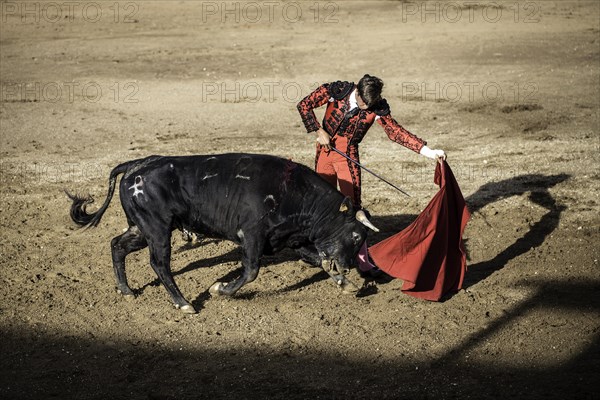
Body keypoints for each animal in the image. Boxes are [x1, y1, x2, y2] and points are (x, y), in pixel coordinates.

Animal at [68, 153, 378, 312]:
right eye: (356, 236)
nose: (348, 266)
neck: (294, 192)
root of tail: (135, 165)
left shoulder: (291, 239)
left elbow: (318, 260)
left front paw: (345, 283)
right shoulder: (252, 236)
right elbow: (251, 271)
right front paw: (219, 289)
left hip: (140, 228)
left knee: (117, 245)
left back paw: (126, 290)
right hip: (156, 229)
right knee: (159, 263)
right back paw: (184, 303)